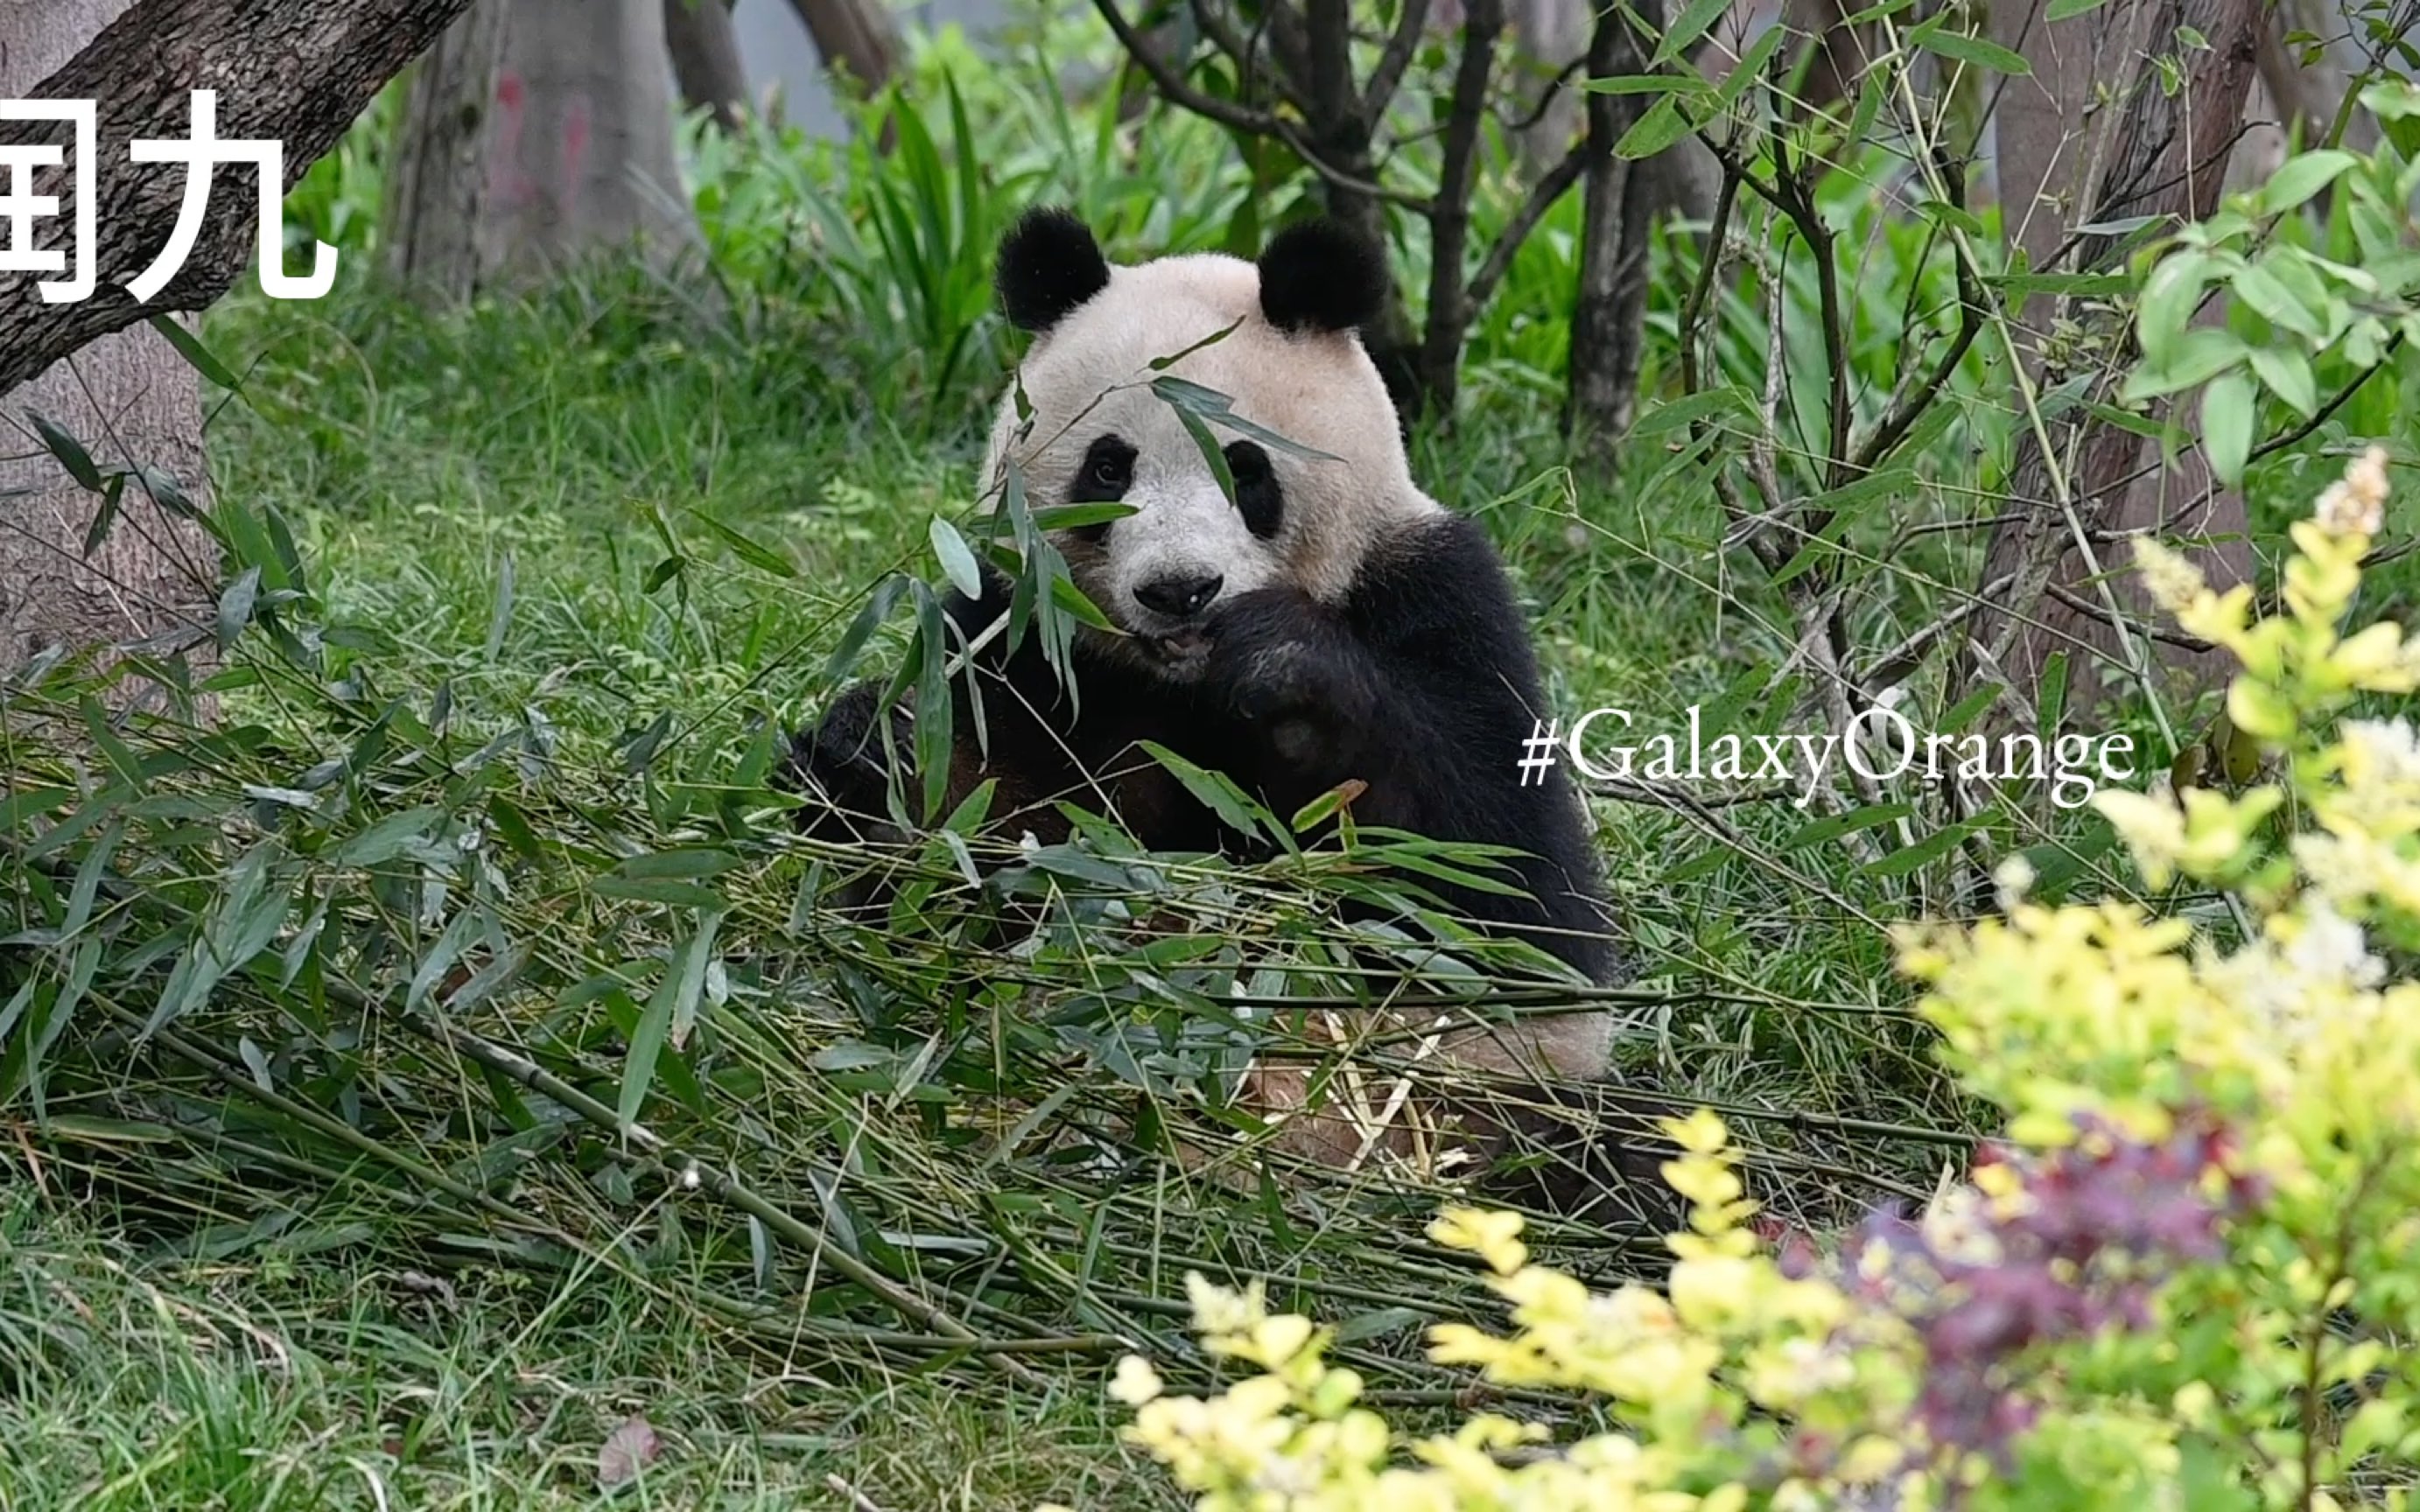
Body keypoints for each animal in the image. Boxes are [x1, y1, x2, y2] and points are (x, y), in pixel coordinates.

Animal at [783, 206, 1636, 1185]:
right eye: (1107, 468)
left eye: (1244, 467)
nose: (1180, 590)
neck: (1177, 683)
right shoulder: (1017, 639)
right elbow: (952, 864)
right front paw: (866, 752)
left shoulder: (1438, 601)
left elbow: (1503, 899)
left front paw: (1283, 675)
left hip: (1496, 1124)